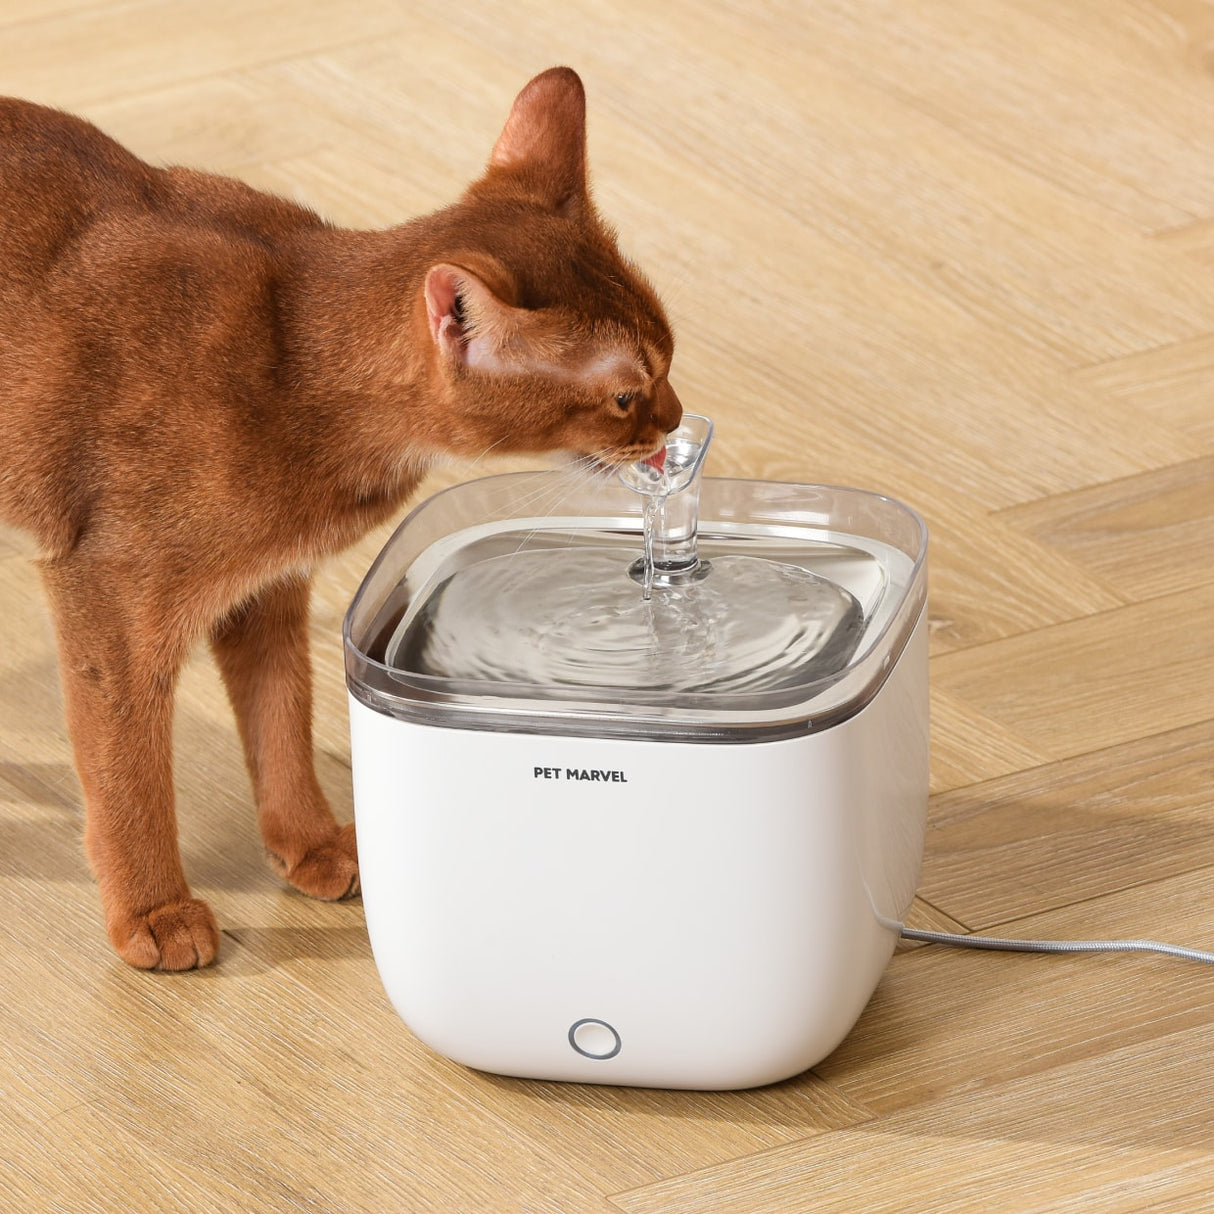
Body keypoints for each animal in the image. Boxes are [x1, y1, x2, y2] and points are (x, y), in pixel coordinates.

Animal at [0, 71, 684, 971]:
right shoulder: (108, 598)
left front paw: (313, 844)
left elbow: (281, 712)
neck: (292, 355)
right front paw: (154, 910)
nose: (676, 421)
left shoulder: (265, 584)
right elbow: (126, 768)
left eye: (670, 353)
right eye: (625, 397)